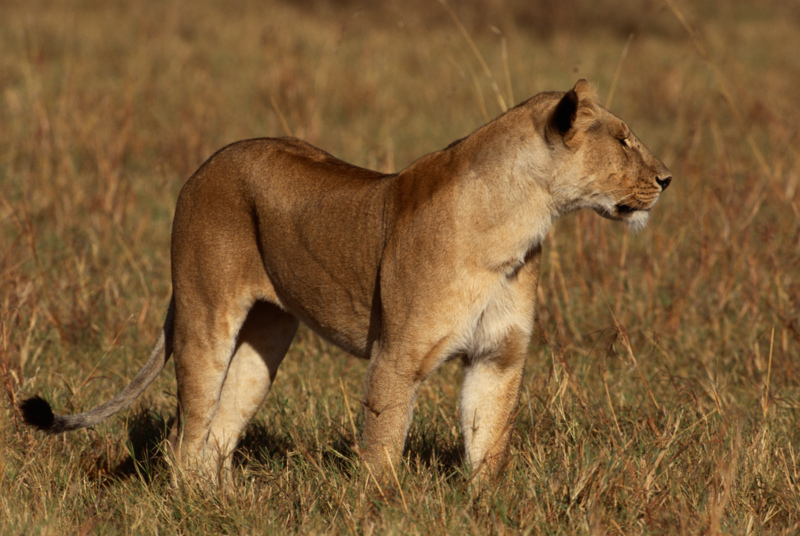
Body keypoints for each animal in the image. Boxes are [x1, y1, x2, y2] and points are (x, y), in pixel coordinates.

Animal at [20, 80, 670, 483]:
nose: (667, 178)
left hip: (265, 339)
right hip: (205, 318)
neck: (518, 225)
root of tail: (206, 164)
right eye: (623, 141)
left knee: (216, 436)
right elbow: (381, 451)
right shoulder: (396, 357)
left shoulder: (498, 358)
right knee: (185, 438)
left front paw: (485, 506)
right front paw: (382, 511)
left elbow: (488, 445)